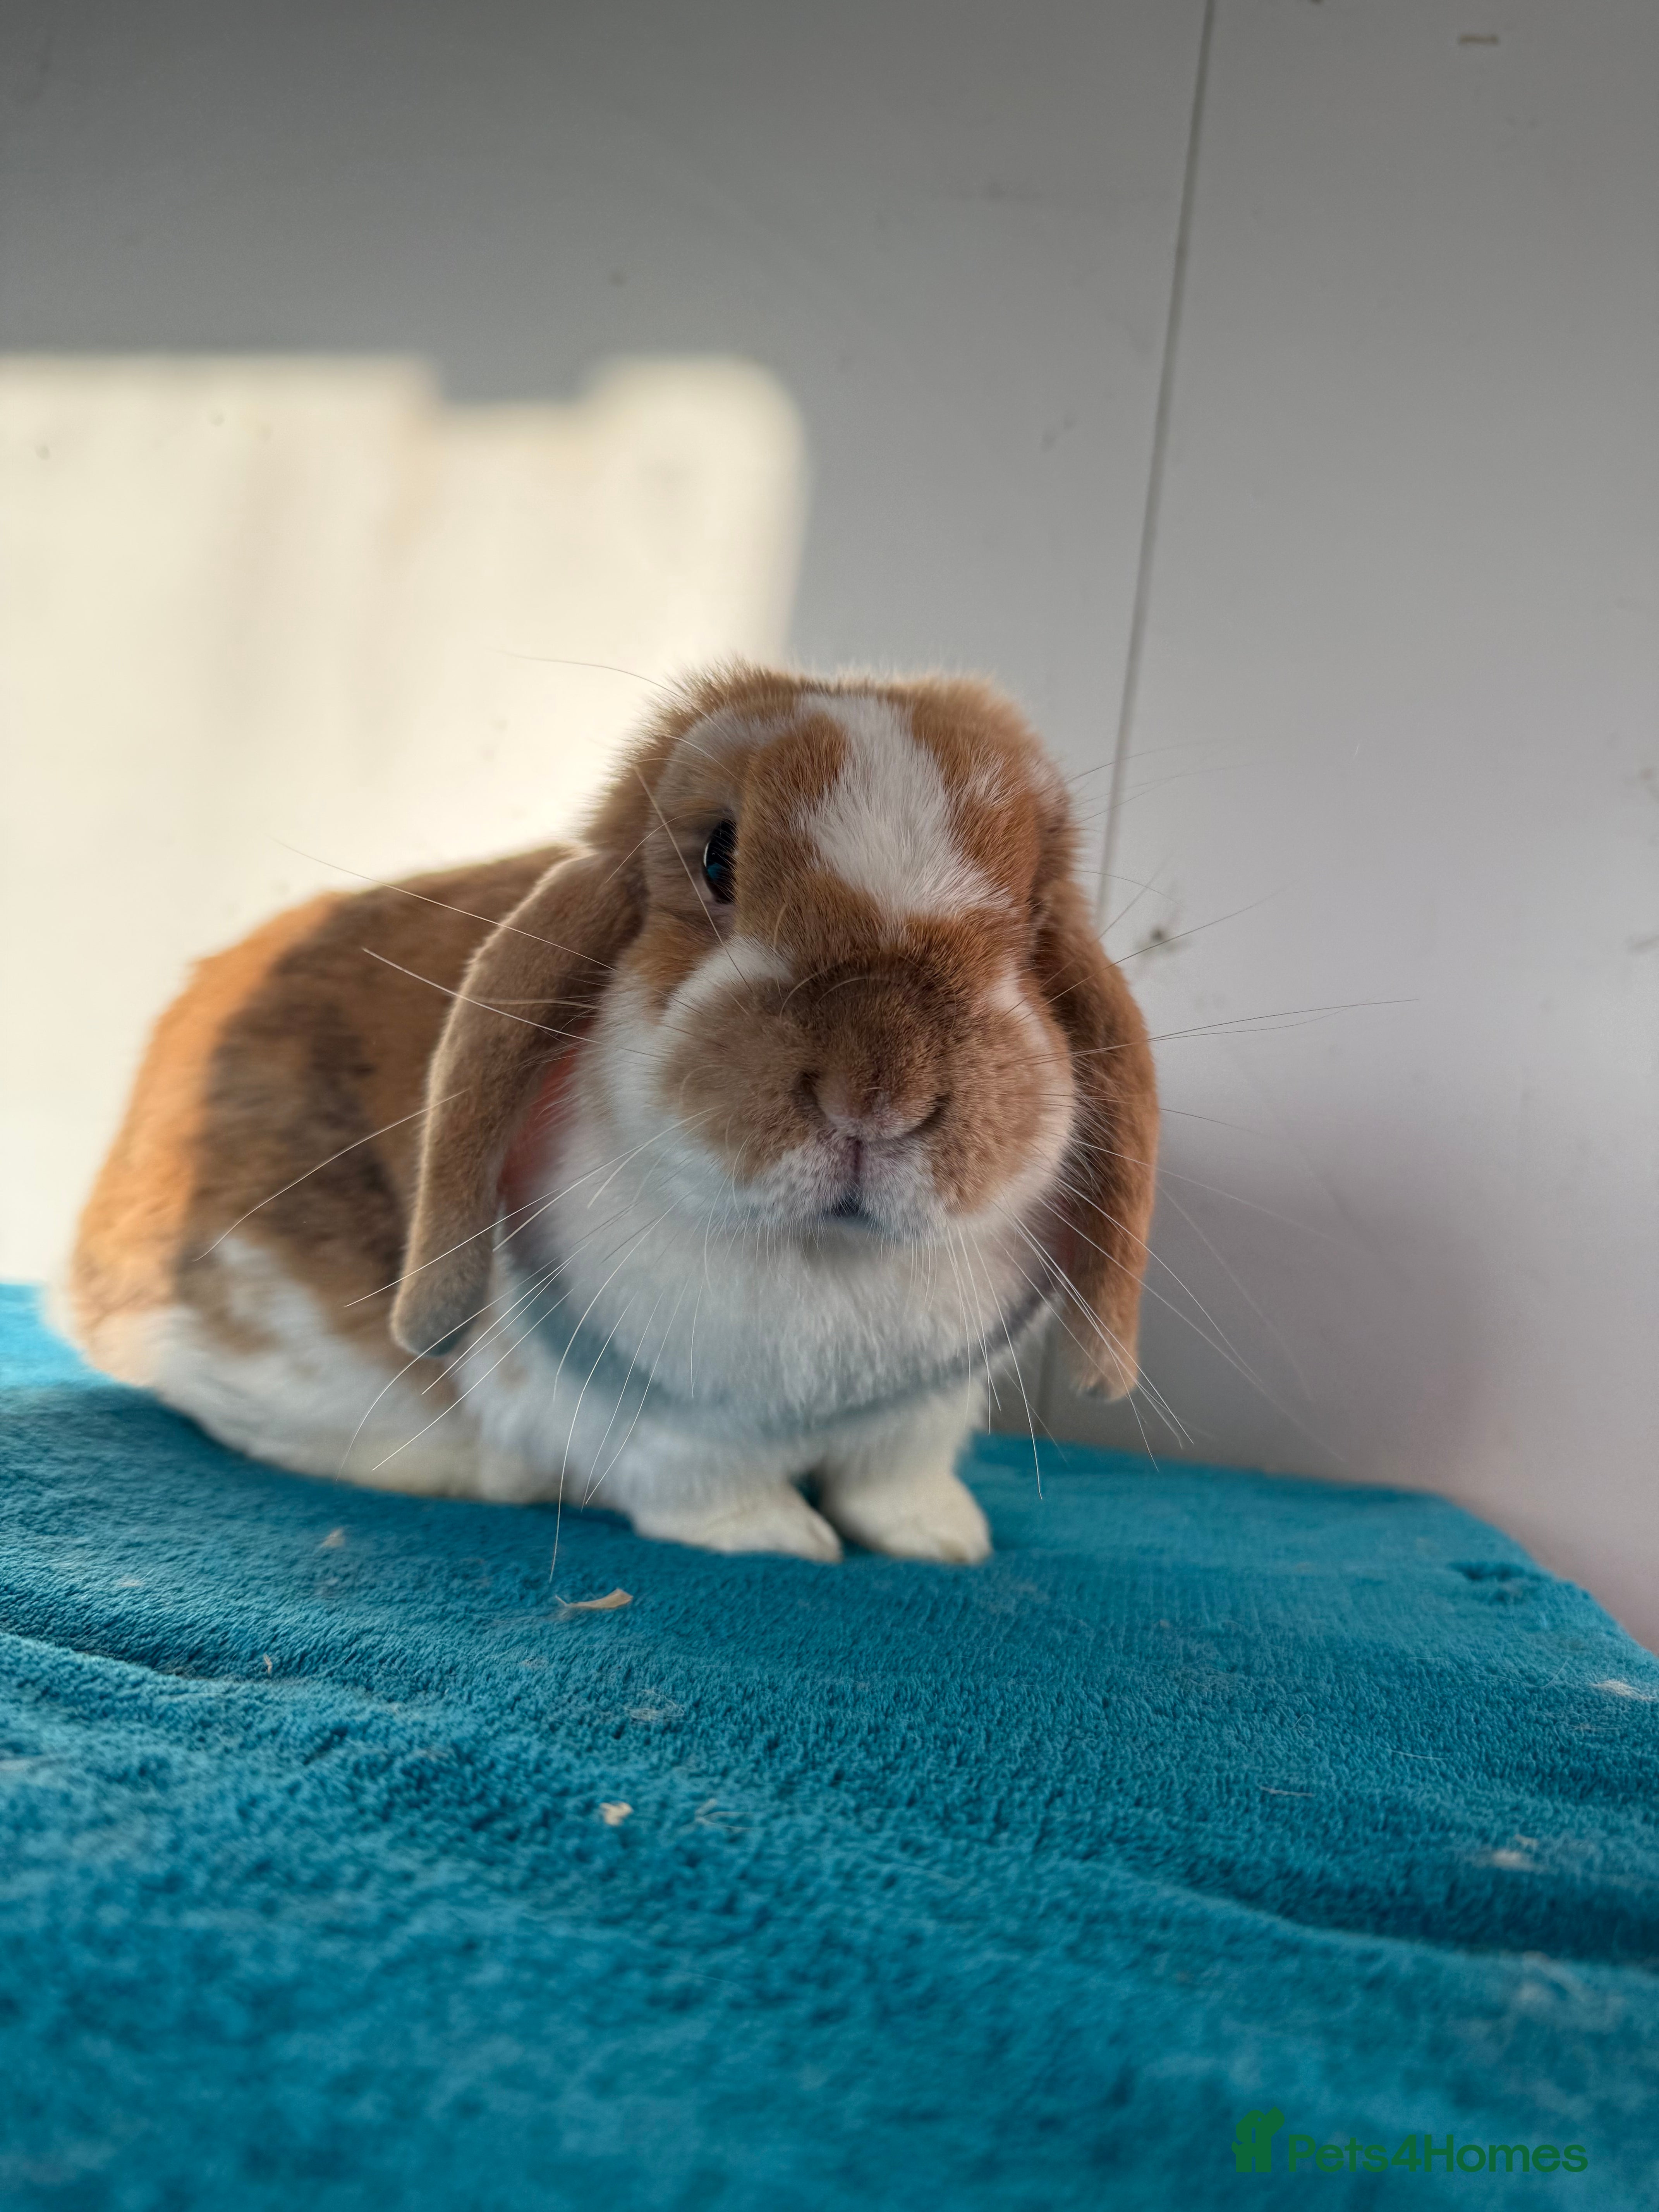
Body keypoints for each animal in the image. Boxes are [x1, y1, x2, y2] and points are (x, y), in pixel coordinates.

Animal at [62, 666, 1158, 1563]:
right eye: (717, 856)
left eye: (1034, 910)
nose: (878, 1092)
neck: (831, 1261)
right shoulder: (644, 1422)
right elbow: (705, 1485)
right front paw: (783, 1539)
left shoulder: (919, 1421)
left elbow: (899, 1486)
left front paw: (946, 1544)